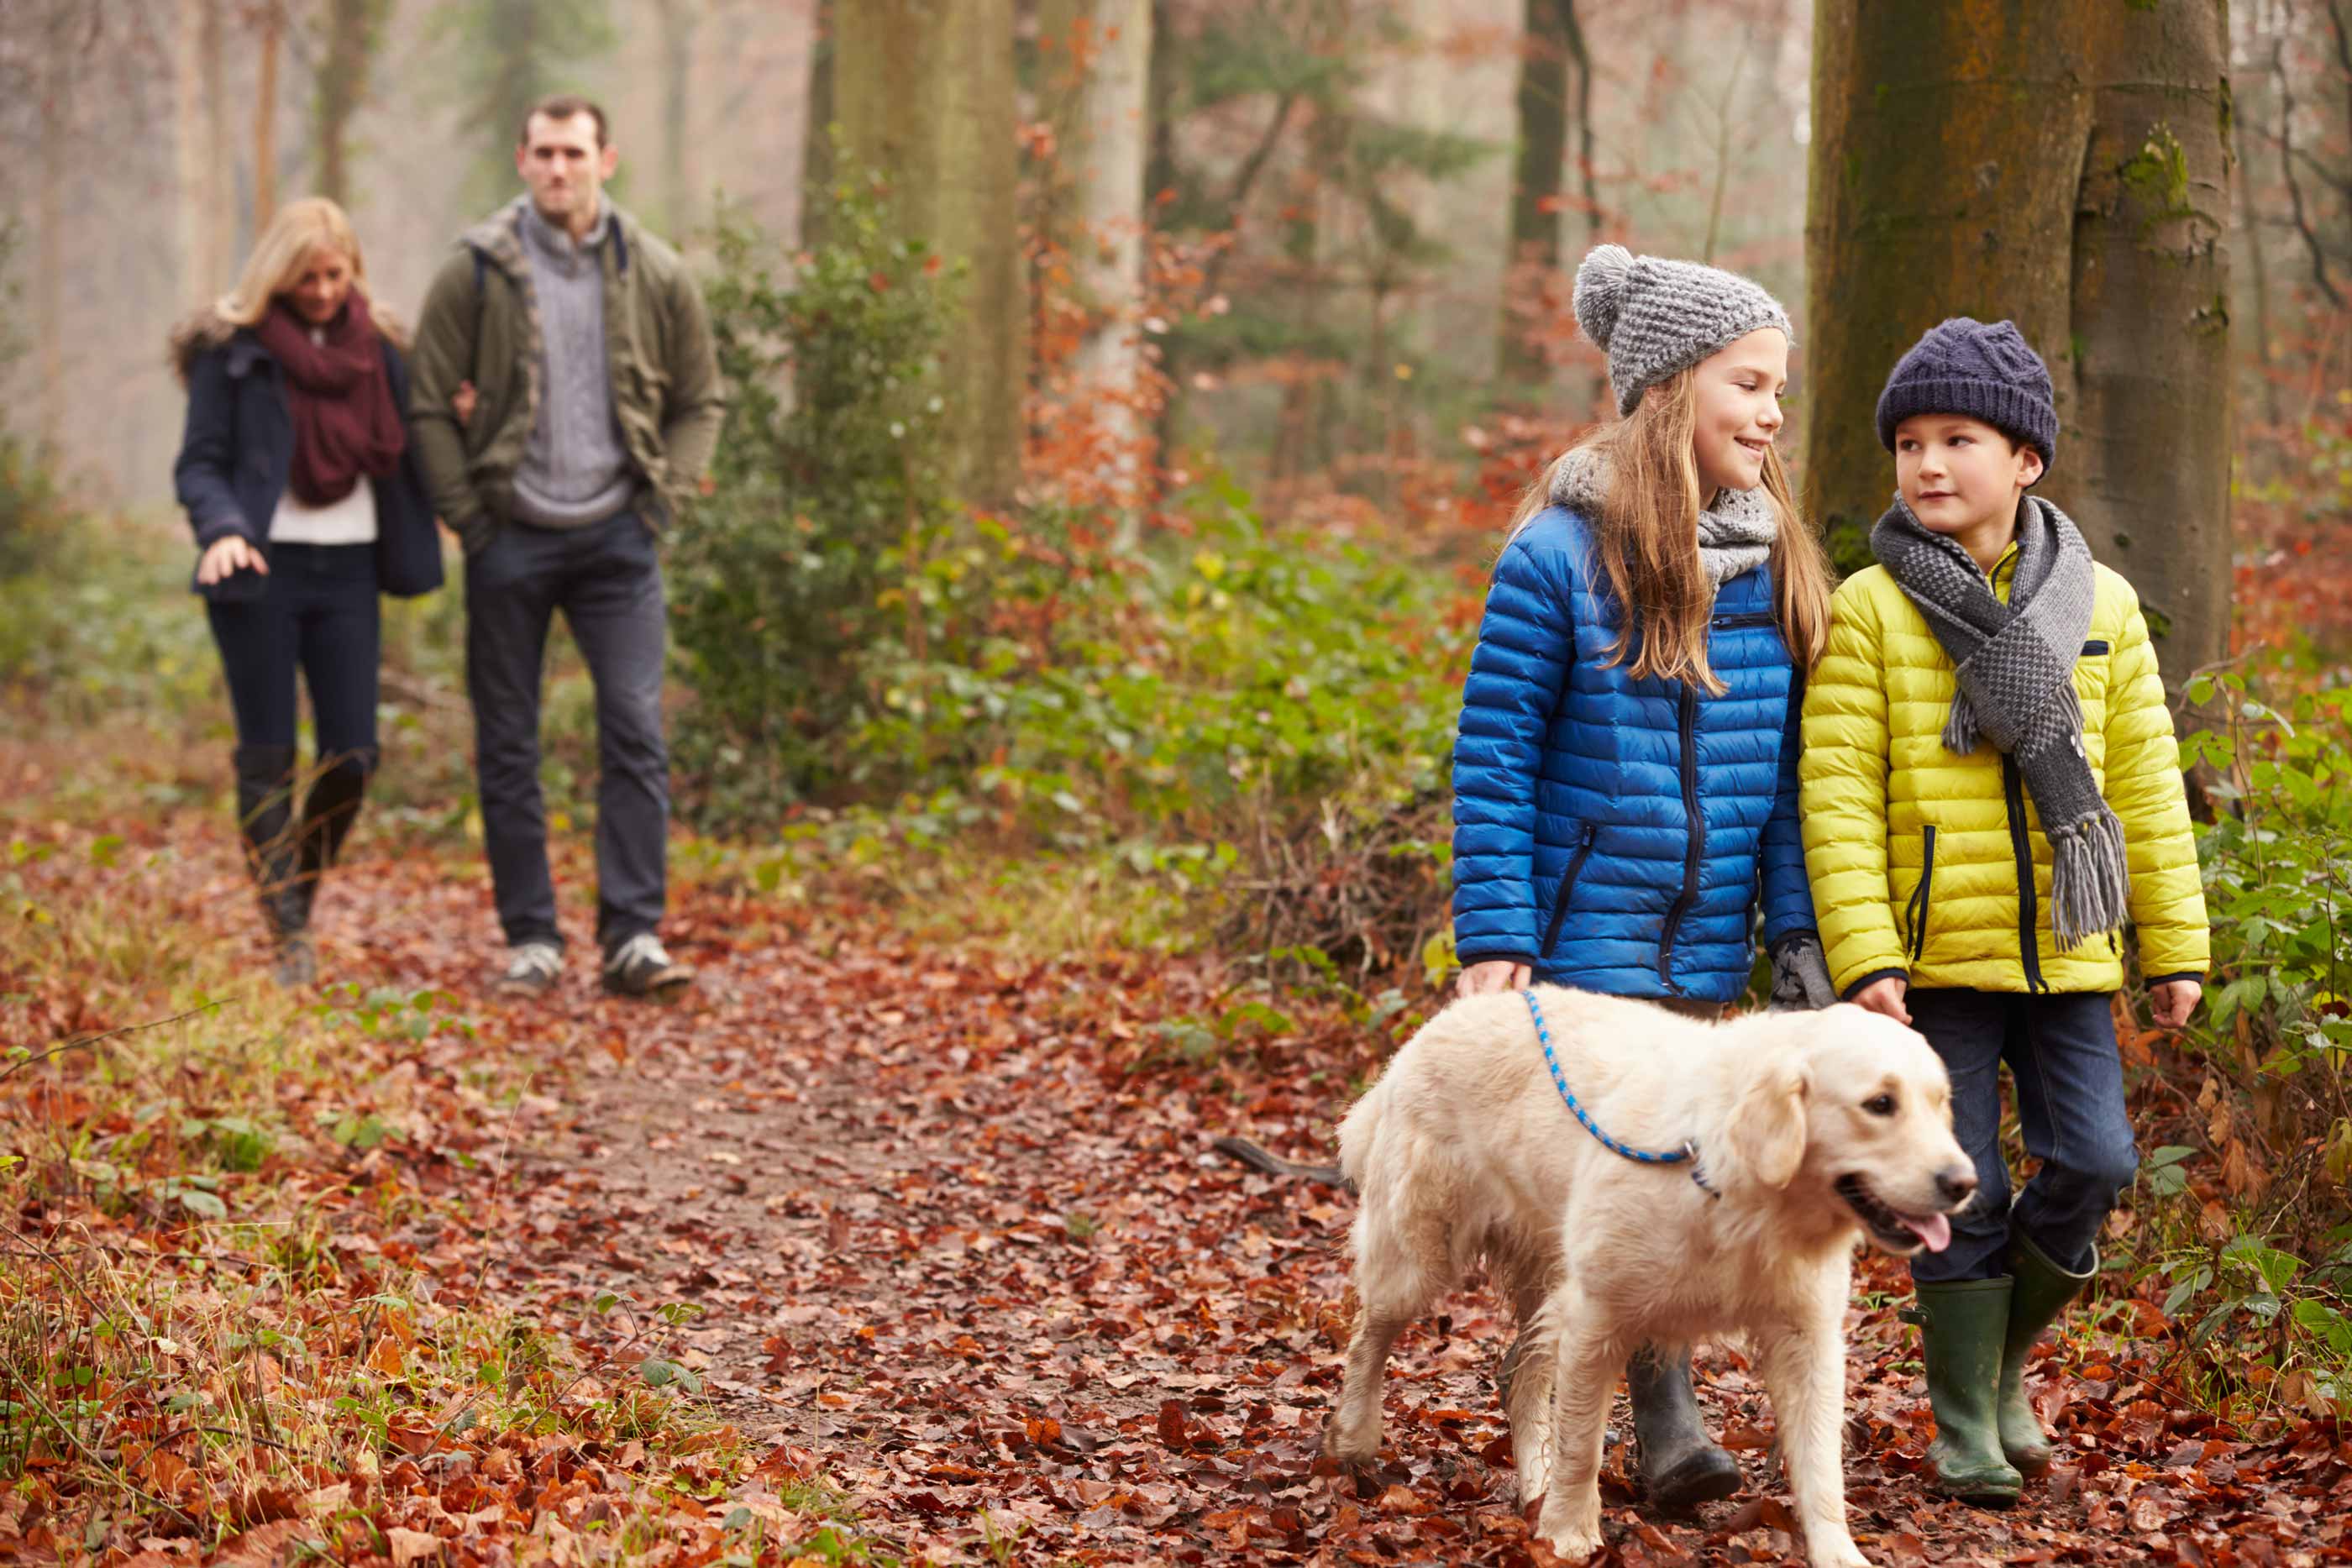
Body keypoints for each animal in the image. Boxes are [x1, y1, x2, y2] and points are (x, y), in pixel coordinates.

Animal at [1336, 992, 1976, 1568]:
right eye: (1879, 1103)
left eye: (1940, 1102)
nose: (1964, 1182)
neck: (1732, 1181)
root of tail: (1440, 1020)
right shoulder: (1596, 1314)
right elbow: (1581, 1445)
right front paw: (1569, 1534)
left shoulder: (1808, 1337)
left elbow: (1821, 1464)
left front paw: (1838, 1552)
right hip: (1421, 1254)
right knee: (1368, 1338)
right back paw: (1349, 1437)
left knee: (1520, 1374)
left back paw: (1533, 1484)